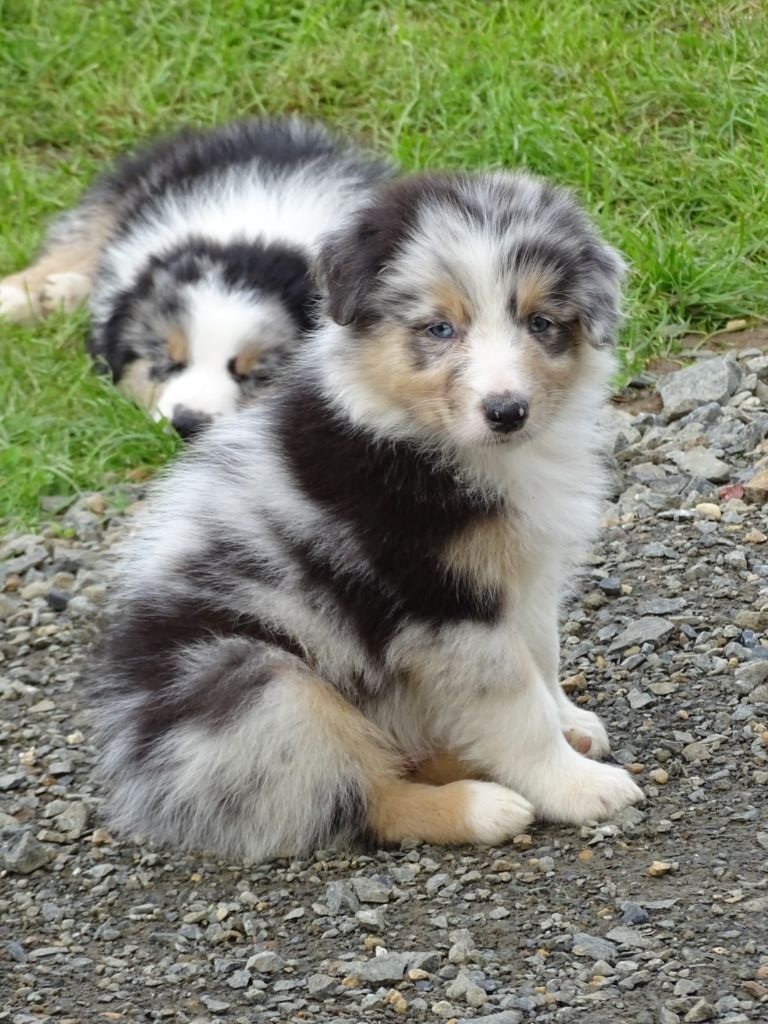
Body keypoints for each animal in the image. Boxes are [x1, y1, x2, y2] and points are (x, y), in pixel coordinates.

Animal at [0, 118, 393, 437]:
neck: (247, 240)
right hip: (126, 190)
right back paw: (25, 296)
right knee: (78, 242)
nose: (188, 424)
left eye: (256, 374)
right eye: (169, 363)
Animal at [90, 170, 643, 860]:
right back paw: (480, 806)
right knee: (364, 792)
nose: (507, 411)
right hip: (262, 686)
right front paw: (577, 786)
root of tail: (140, 761)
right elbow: (516, 705)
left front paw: (571, 725)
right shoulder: (441, 603)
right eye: (439, 329)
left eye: (541, 323)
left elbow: (543, 655)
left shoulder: (525, 576)